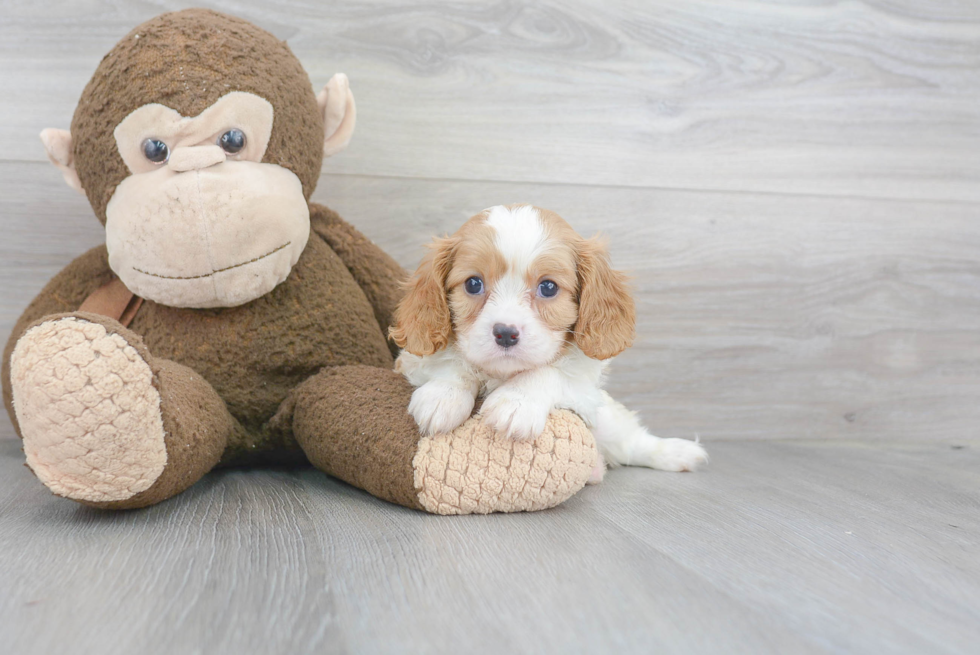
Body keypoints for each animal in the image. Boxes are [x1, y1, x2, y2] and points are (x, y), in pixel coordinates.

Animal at [388, 206, 704, 482]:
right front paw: (444, 395)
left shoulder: (583, 382)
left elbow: (550, 371)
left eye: (548, 287)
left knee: (632, 442)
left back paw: (678, 452)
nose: (505, 333)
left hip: (607, 420)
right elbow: (451, 361)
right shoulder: (412, 362)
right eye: (473, 284)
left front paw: (516, 402)